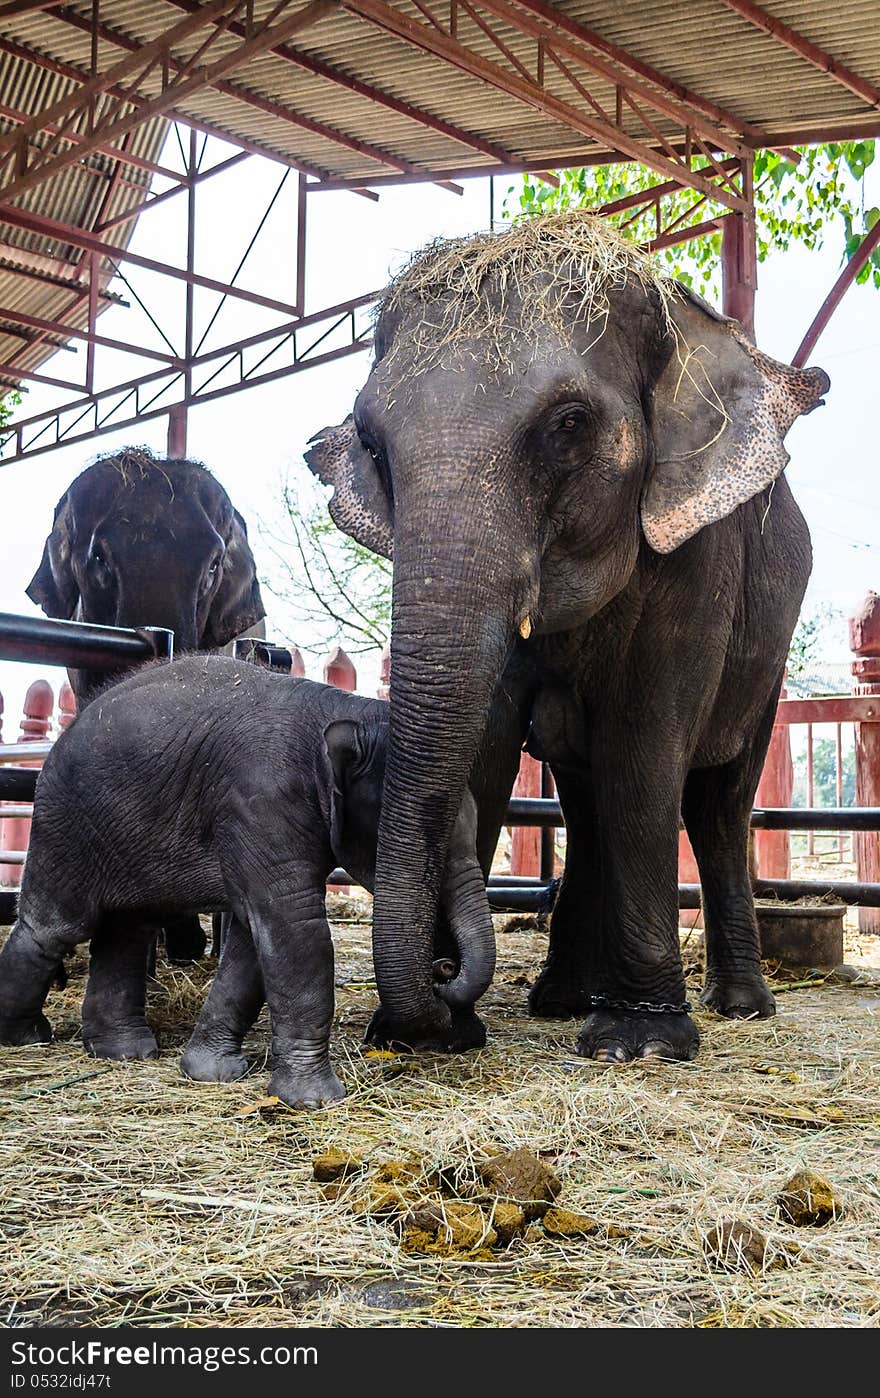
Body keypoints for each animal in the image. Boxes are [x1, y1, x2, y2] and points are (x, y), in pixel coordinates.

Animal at [0, 651, 495, 1101]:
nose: (443, 968)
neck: (340, 710)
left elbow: (253, 938)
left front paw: (212, 1074)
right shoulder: (261, 798)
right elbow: (294, 927)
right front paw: (315, 1101)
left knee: (128, 928)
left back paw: (124, 1053)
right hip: (65, 821)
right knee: (57, 926)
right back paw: (27, 1036)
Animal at [304, 209, 828, 1056]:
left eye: (569, 425)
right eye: (372, 444)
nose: (442, 981)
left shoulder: (696, 559)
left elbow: (645, 749)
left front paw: (640, 1042)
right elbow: (485, 746)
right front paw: (427, 1034)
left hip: (769, 660)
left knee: (716, 804)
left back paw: (739, 1006)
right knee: (587, 800)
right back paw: (561, 998)